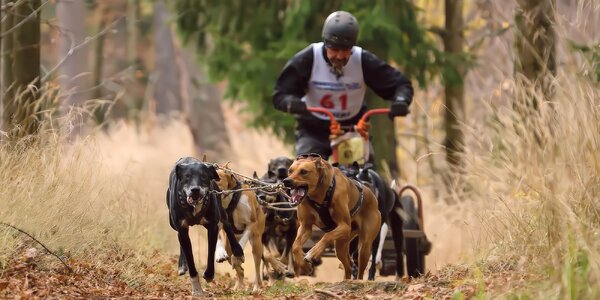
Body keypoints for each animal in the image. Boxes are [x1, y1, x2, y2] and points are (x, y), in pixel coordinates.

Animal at [166, 157, 244, 296]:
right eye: (187, 176)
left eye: (203, 176)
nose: (195, 189)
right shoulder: (182, 230)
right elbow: (190, 258)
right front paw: (197, 289)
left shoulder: (212, 227)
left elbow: (211, 251)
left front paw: (209, 275)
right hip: (173, 223)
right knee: (180, 240)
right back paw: (182, 265)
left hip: (220, 208)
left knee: (226, 223)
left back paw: (237, 251)